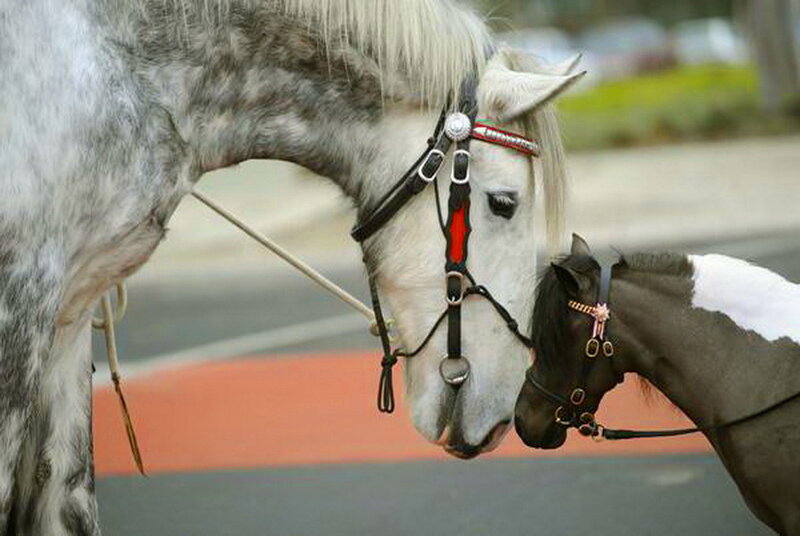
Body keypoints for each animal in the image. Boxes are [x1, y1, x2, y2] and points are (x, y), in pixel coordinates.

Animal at [1, 0, 583, 532]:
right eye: (504, 203)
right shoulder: (21, 308)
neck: (126, 63)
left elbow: (68, 501)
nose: (505, 414)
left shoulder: (71, 317)